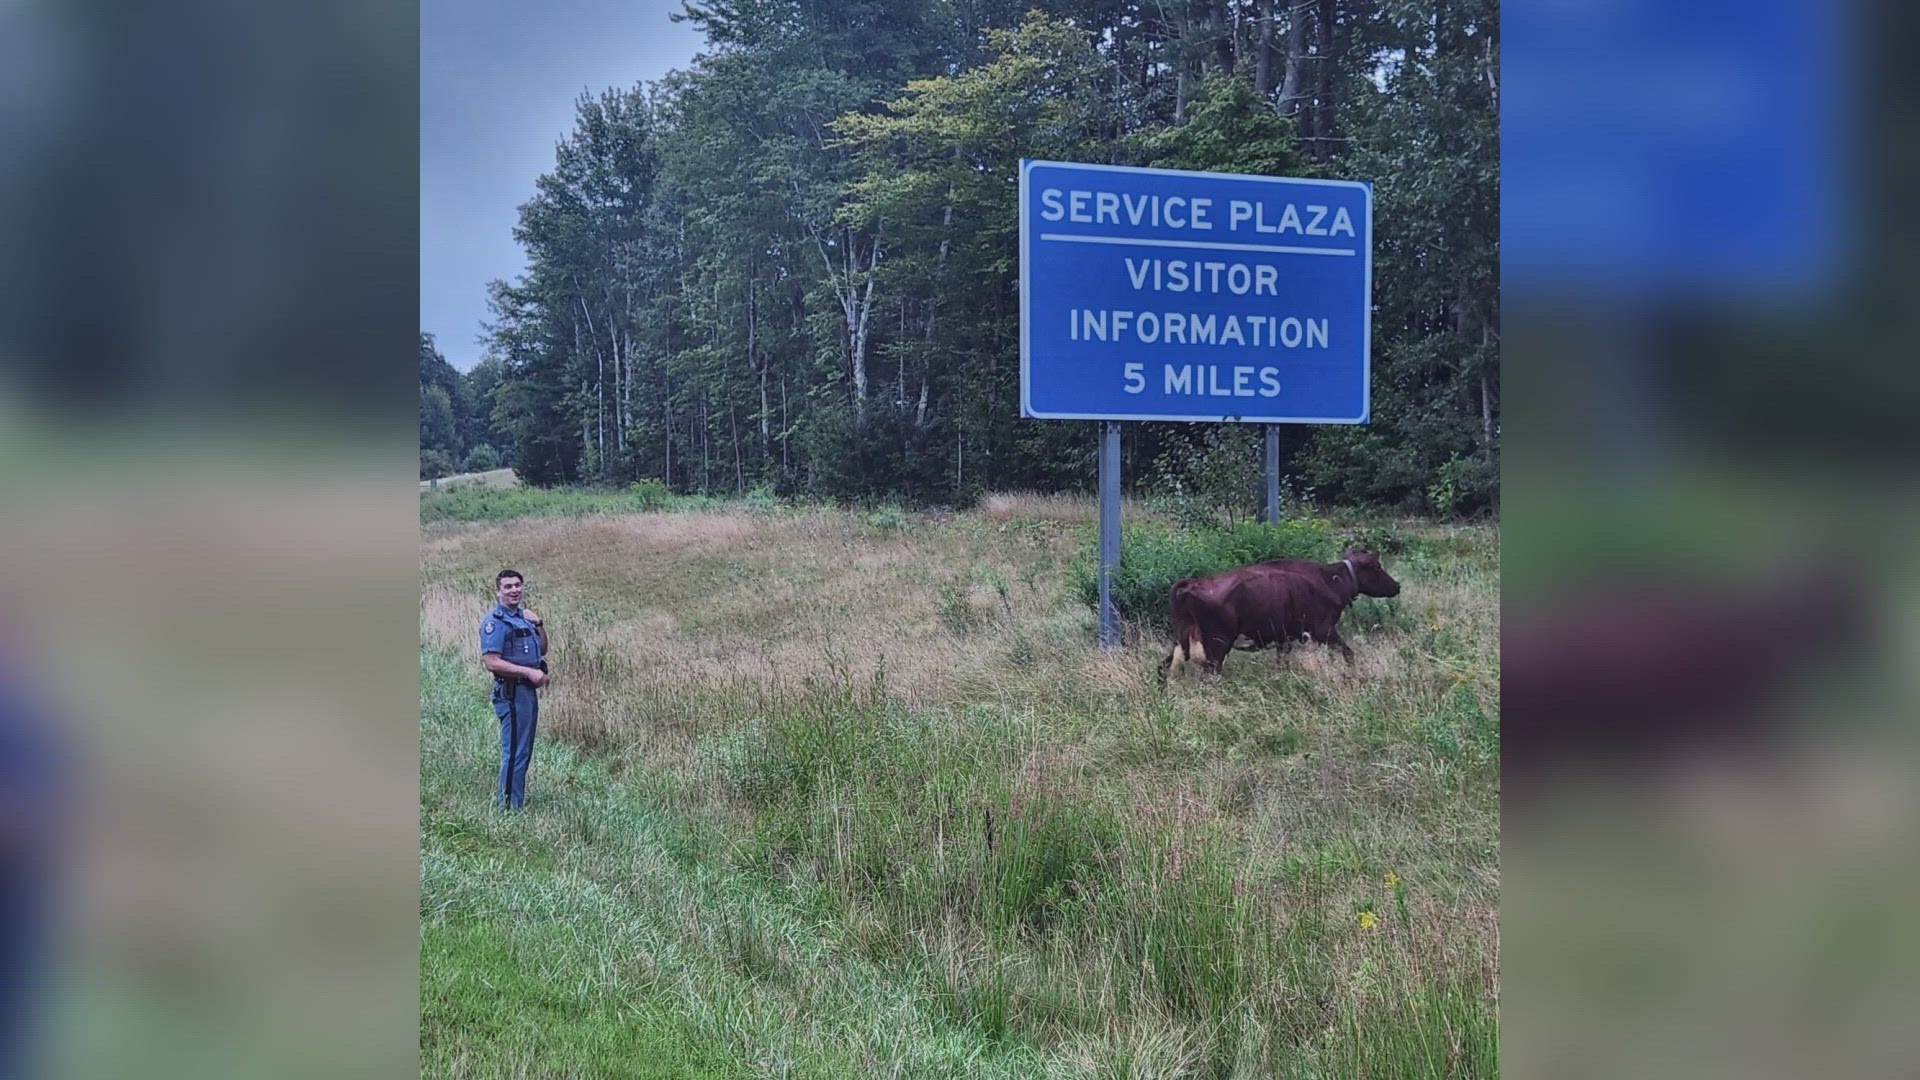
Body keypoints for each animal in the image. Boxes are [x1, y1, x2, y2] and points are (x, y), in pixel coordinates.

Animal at [1159, 545, 1405, 672]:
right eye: (1377, 566)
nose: (1397, 585)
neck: (1330, 579)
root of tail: (1192, 583)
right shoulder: (1324, 630)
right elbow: (1348, 653)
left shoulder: (1284, 638)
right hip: (1218, 644)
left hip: (1182, 641)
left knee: (1163, 667)